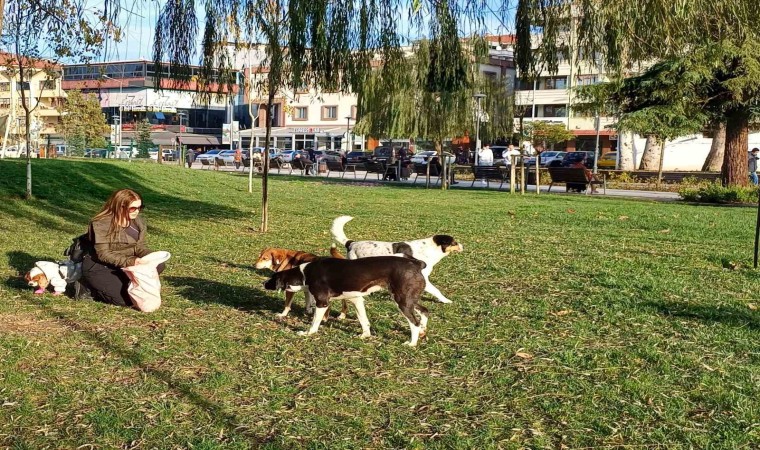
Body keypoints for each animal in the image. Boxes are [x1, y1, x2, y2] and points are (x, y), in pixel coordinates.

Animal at [262, 256, 430, 344]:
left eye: (272, 278)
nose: (263, 283)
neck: (304, 273)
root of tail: (416, 263)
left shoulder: (322, 302)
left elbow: (314, 322)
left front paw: (308, 333)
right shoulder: (356, 299)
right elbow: (363, 320)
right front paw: (365, 335)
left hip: (402, 301)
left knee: (414, 322)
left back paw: (412, 343)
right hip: (409, 300)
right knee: (425, 311)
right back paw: (423, 331)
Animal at [332, 215, 464, 306]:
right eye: (454, 243)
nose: (463, 246)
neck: (429, 249)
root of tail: (352, 243)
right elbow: (436, 291)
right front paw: (446, 300)